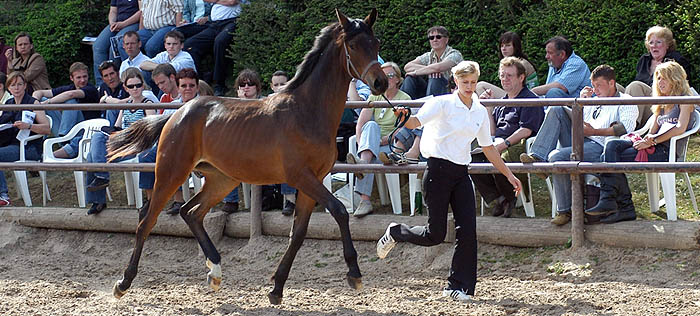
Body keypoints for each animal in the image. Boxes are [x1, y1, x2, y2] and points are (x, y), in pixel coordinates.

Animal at [108, 8, 388, 304]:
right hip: (171, 172)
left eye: (376, 43)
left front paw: (276, 289)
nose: (381, 82)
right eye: (354, 46)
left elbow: (298, 233)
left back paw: (215, 271)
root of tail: (177, 113)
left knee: (190, 212)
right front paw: (354, 274)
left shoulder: (312, 181)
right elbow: (339, 212)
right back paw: (124, 282)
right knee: (146, 221)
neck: (306, 112)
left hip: (222, 180)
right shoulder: (302, 176)